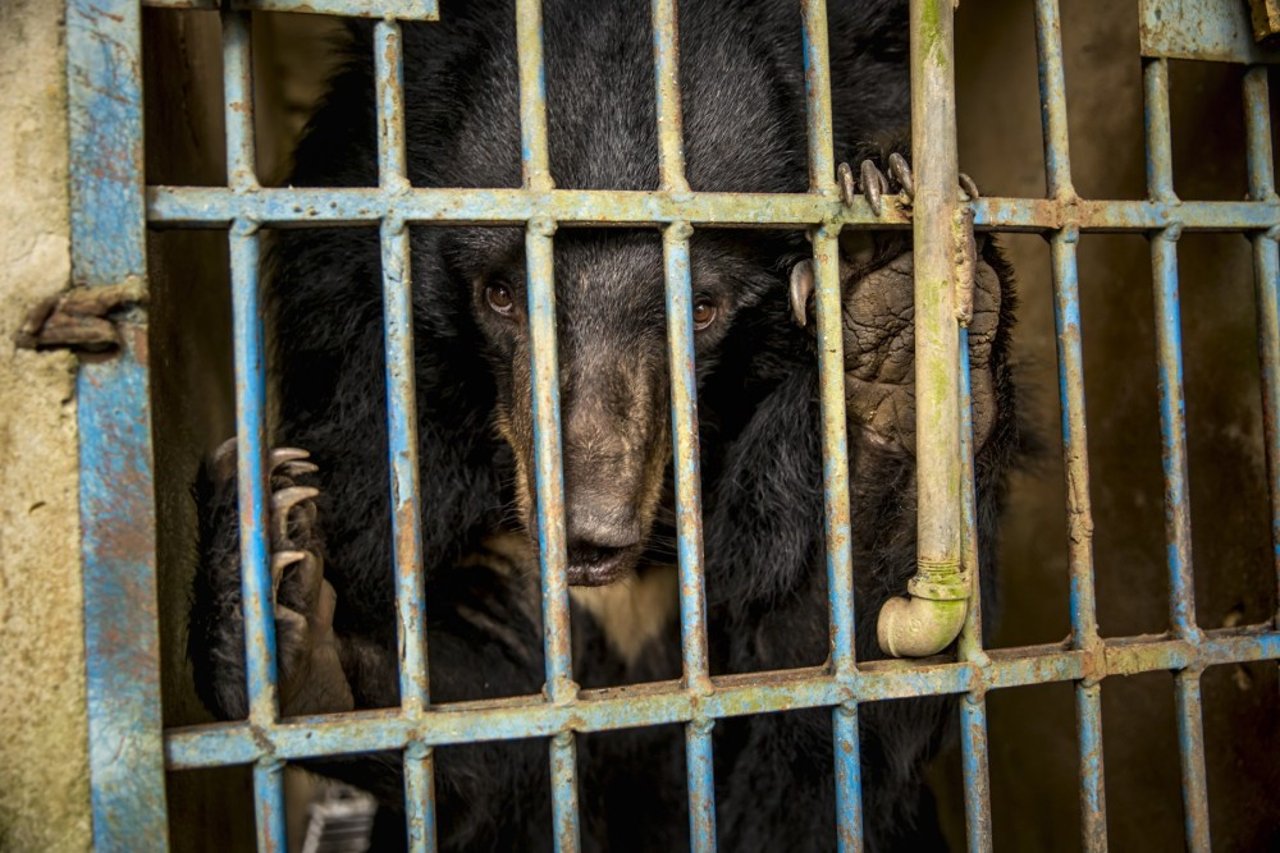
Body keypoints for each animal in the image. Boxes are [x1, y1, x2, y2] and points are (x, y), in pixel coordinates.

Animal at [185, 1, 1013, 845]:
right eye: (500, 294)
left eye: (702, 307)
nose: (586, 536)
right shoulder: (366, 383)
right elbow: (485, 708)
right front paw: (284, 620)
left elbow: (813, 700)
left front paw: (892, 330)